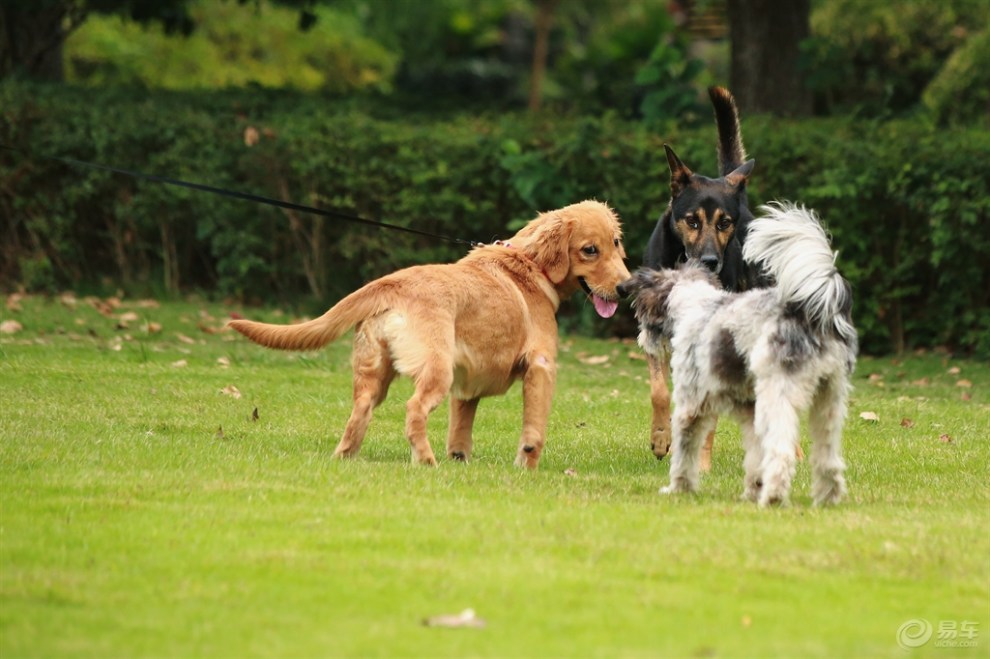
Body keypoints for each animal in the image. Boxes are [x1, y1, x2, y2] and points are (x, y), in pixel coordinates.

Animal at [227, 201, 628, 470]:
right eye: (590, 250)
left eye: (616, 242)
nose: (626, 288)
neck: (530, 265)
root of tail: (392, 284)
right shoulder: (542, 366)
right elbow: (534, 432)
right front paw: (526, 466)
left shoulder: (467, 385)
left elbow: (461, 430)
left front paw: (461, 460)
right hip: (436, 370)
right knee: (413, 410)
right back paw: (426, 460)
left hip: (375, 373)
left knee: (359, 412)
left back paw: (347, 457)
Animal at [628, 204, 860, 508]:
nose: (643, 338)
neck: (695, 305)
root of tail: (811, 314)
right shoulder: (750, 413)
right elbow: (754, 455)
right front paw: (752, 488)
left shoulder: (691, 406)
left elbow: (684, 453)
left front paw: (679, 488)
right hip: (828, 403)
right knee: (828, 459)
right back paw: (827, 497)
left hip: (777, 396)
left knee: (782, 452)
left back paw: (773, 497)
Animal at [640, 86, 772, 470]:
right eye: (692, 220)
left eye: (724, 223)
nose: (712, 261)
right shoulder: (652, 331)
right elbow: (659, 391)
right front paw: (660, 438)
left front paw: (699, 461)